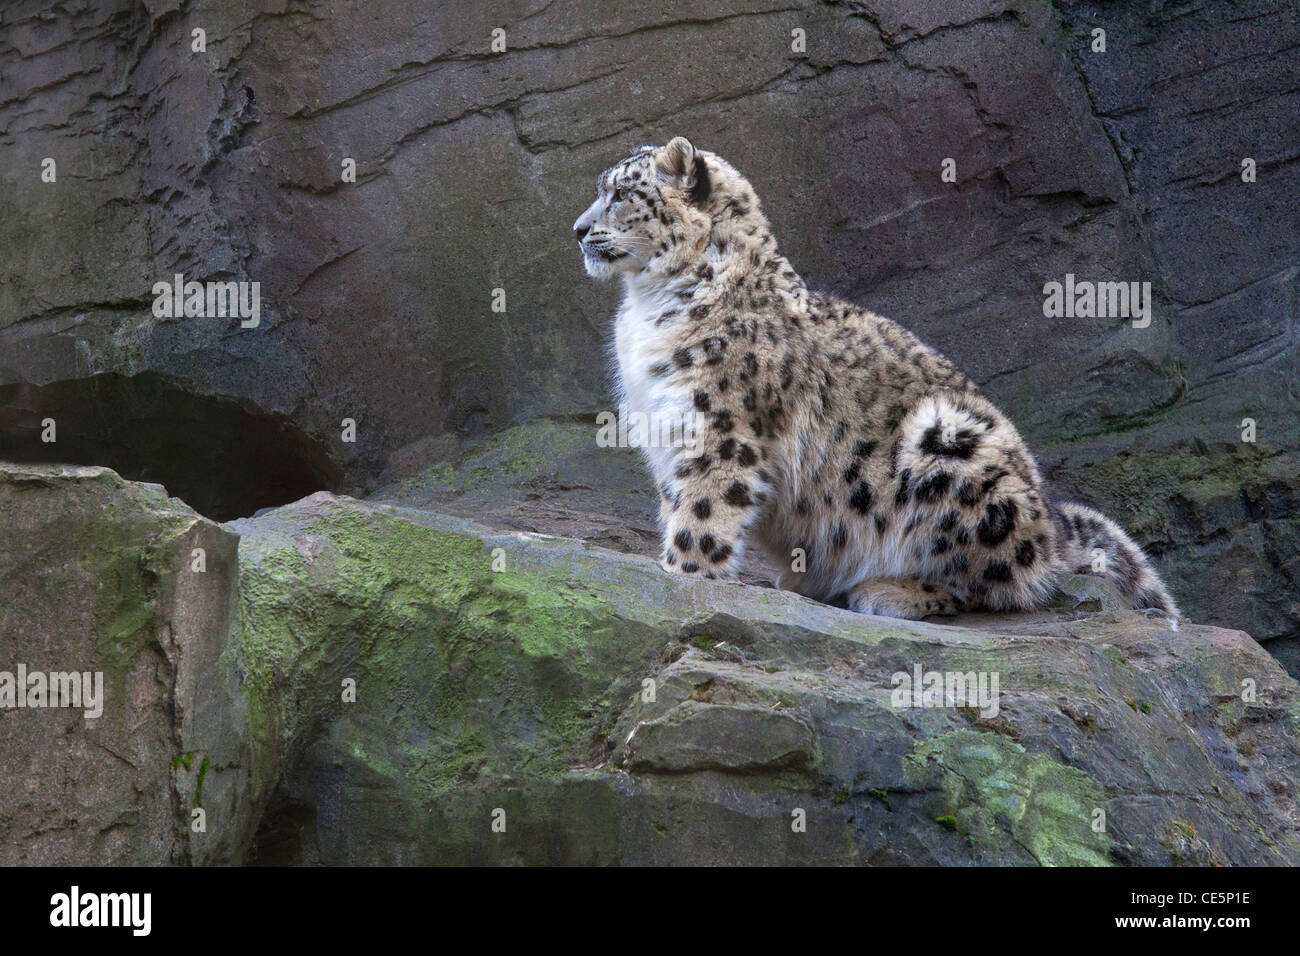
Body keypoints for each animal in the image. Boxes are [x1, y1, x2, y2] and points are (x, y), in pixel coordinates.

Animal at [569, 138, 1180, 624]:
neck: (647, 307)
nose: (577, 230)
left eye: (621, 193)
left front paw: (681, 575)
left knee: (1002, 581)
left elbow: (701, 511)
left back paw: (887, 591)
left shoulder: (720, 428)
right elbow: (676, 501)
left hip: (950, 441)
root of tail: (1050, 520)